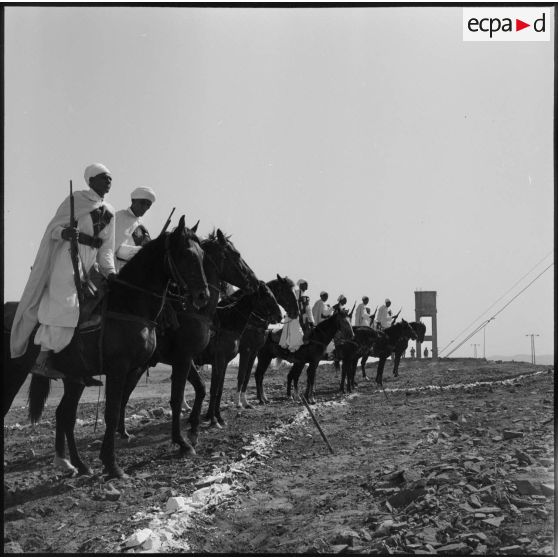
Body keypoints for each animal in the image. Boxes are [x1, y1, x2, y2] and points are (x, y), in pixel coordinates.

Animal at [8, 217, 210, 480]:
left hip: (74, 379)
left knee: (65, 415)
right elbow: (113, 412)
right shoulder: (122, 367)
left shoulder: (137, 367)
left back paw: (78, 464)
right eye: (186, 254)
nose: (202, 295)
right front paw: (112, 465)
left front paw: (183, 443)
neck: (128, 305)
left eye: (203, 254)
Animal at [117, 230, 262, 458]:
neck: (195, 312)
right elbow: (184, 396)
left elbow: (202, 389)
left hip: (138, 367)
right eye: (236, 254)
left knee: (124, 394)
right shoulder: (186, 359)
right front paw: (188, 437)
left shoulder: (189, 360)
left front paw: (194, 429)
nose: (254, 281)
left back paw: (122, 432)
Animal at [197, 284, 284, 428]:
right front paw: (214, 420)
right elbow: (217, 388)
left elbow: (220, 389)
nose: (280, 316)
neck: (227, 325)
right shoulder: (225, 359)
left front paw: (218, 417)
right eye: (267, 295)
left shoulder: (226, 362)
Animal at [235, 276, 300, 412]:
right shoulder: (245, 350)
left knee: (259, 375)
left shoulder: (253, 352)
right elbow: (242, 375)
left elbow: (247, 375)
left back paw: (263, 398)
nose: (296, 312)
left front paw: (246, 402)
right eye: (287, 291)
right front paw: (239, 403)